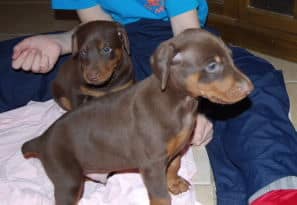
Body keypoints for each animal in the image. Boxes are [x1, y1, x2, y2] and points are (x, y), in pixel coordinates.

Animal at [22, 28, 252, 205]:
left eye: (231, 57)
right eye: (212, 65)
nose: (250, 88)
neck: (178, 101)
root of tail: (42, 139)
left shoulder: (178, 147)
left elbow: (175, 165)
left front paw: (174, 182)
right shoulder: (151, 165)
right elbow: (161, 196)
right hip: (67, 178)